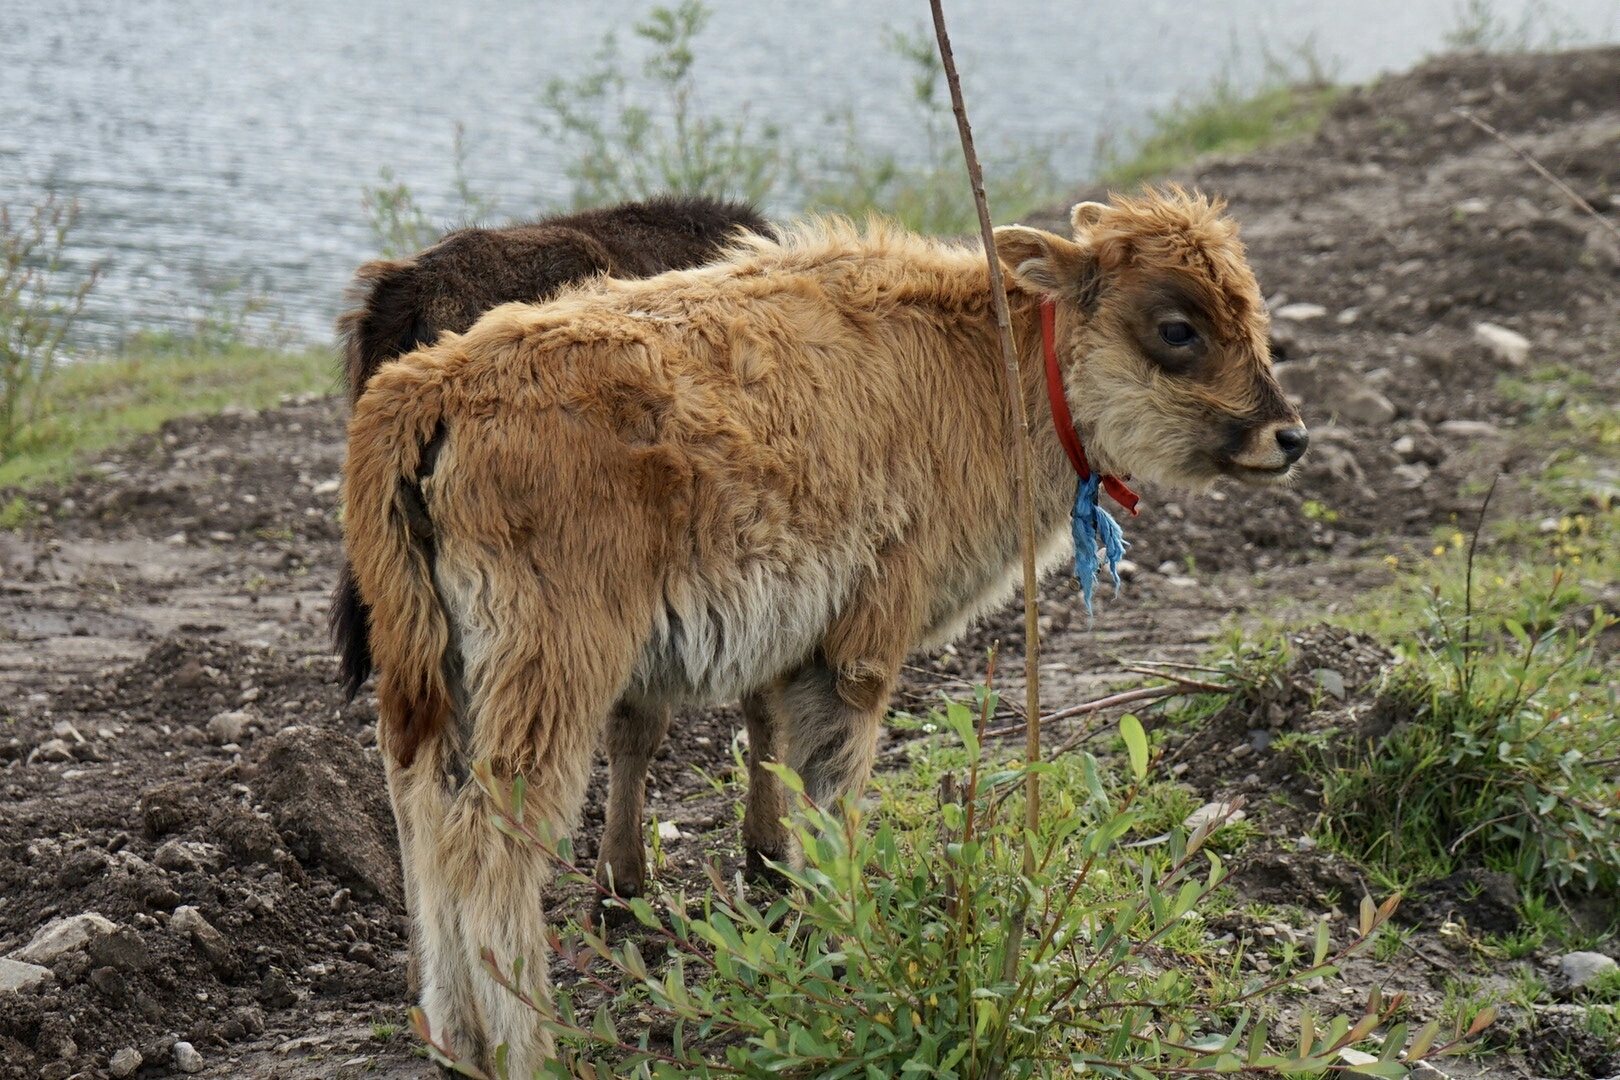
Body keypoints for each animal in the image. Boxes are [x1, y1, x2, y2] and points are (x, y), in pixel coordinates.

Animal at [341, 187, 1302, 1075]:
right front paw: (844, 941)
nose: (1286, 436)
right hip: (549, 675)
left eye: (1249, 311)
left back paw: (454, 1038)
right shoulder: (861, 641)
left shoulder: (791, 646)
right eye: (1178, 327)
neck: (980, 355)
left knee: (419, 814)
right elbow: (833, 789)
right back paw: (528, 1048)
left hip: (434, 678)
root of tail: (434, 386)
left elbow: (779, 759)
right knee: (486, 841)